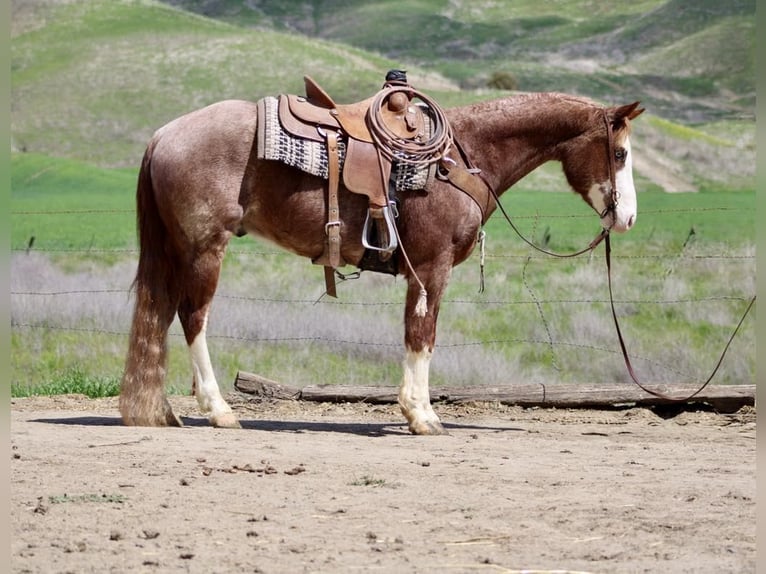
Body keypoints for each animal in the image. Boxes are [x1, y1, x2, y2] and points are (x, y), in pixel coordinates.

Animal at [118, 87, 644, 434]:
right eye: (619, 153)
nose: (629, 218)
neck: (459, 160)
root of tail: (164, 135)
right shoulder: (431, 268)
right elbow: (422, 335)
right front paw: (422, 415)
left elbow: (417, 336)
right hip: (205, 248)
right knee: (193, 318)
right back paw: (219, 410)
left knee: (161, 314)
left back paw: (161, 412)